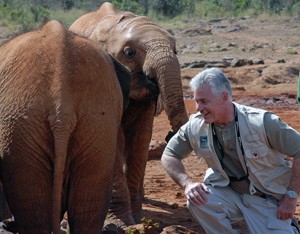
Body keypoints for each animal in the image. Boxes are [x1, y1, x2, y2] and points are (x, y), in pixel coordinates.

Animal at [69, 1, 189, 229]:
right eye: (129, 52)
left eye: (176, 50)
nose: (170, 134)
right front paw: (122, 223)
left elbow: (141, 138)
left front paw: (137, 219)